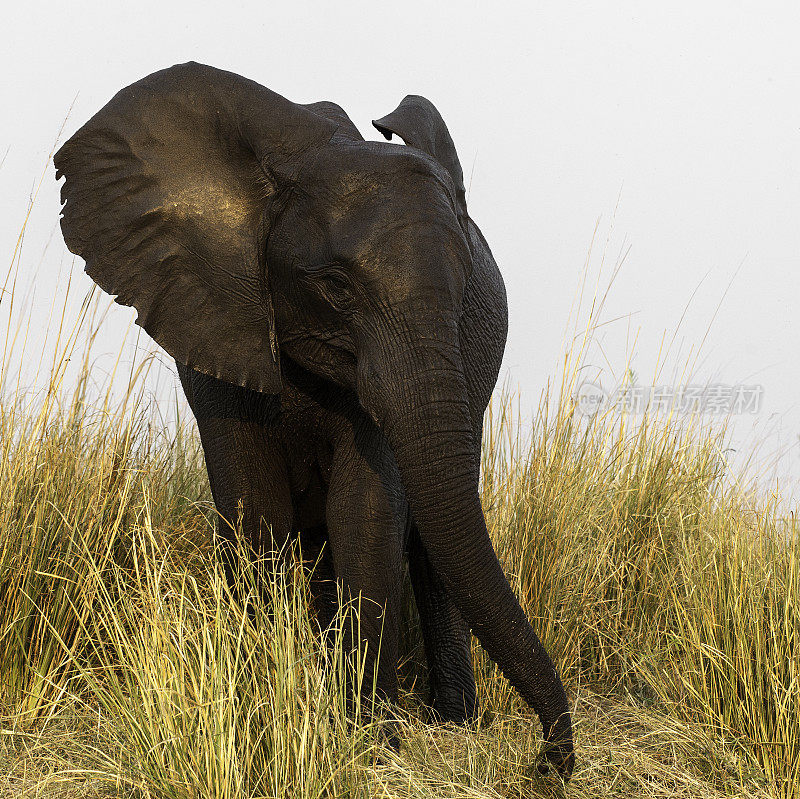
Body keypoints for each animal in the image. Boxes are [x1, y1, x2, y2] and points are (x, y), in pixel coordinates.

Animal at [54, 62, 576, 780]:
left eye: (462, 286)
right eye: (336, 287)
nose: (545, 762)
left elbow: (367, 509)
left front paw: (370, 743)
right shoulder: (216, 317)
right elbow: (253, 506)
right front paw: (260, 709)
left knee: (429, 541)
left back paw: (452, 723)